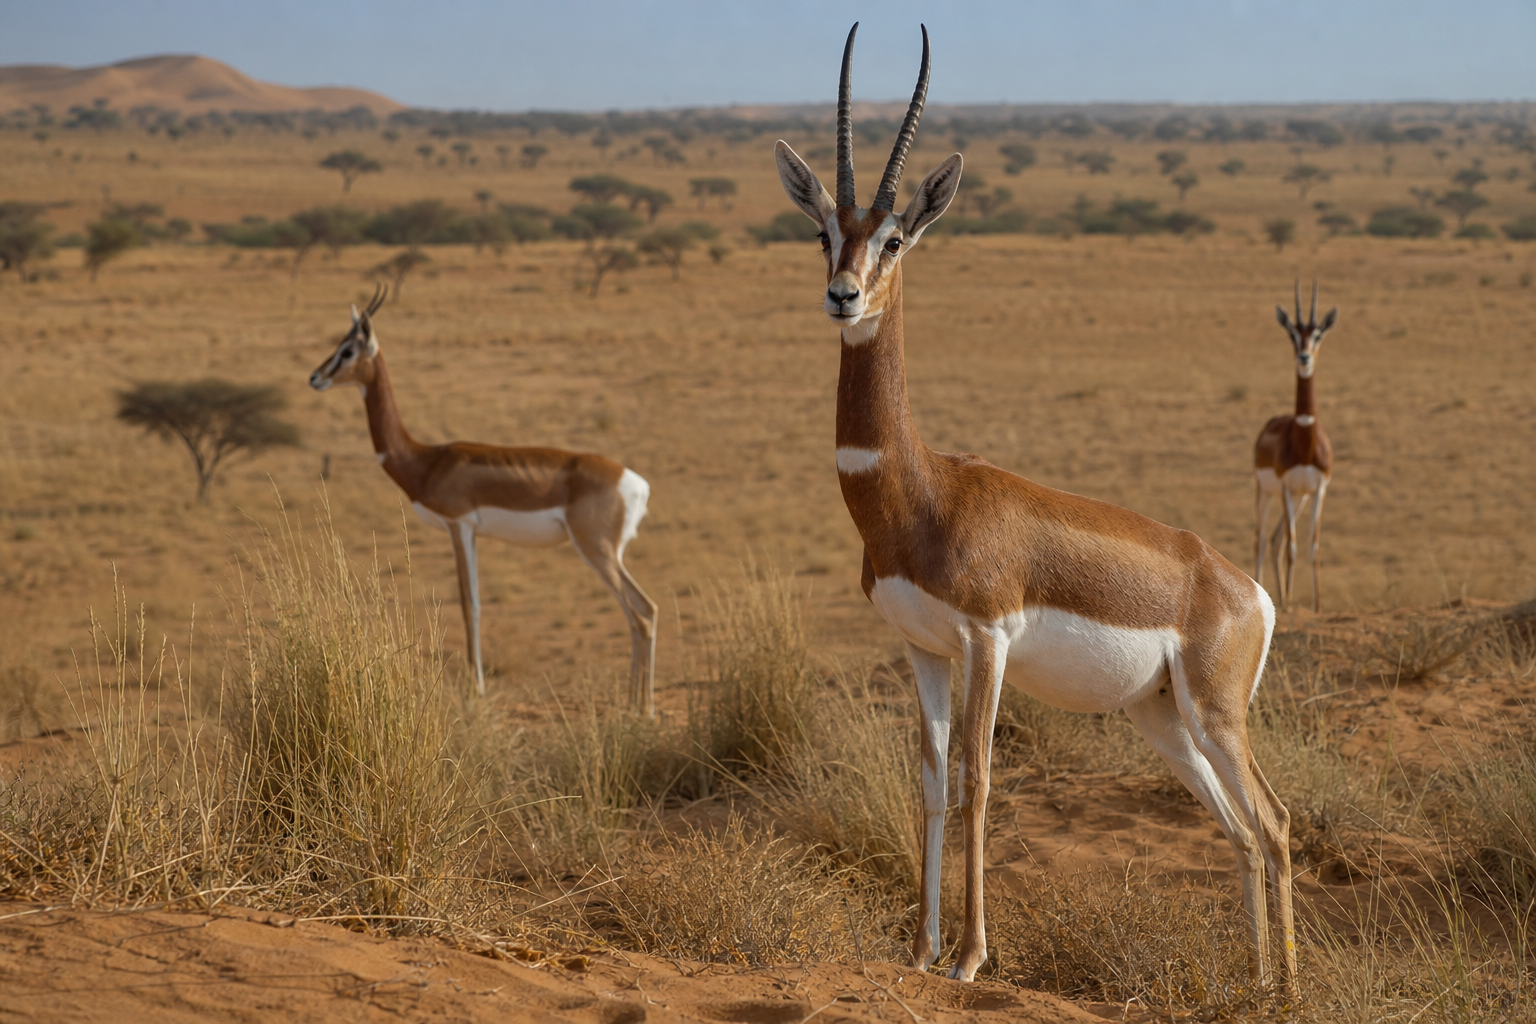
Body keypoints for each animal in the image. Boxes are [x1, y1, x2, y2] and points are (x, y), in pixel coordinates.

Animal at [308, 287, 659, 714]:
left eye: (347, 350)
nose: (315, 377)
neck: (428, 460)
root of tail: (634, 482)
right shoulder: (471, 532)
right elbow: (474, 603)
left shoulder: (459, 525)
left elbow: (468, 603)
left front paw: (476, 690)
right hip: (607, 553)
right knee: (638, 614)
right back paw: (634, 704)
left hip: (598, 551)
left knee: (643, 613)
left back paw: (644, 710)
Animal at [772, 24, 1295, 995]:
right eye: (825, 231)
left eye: (894, 239)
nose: (843, 295)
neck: (922, 491)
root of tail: (1247, 588)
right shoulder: (922, 648)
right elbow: (933, 784)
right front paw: (921, 948)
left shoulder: (987, 640)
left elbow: (980, 780)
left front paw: (971, 959)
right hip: (1164, 720)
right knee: (1243, 833)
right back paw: (1254, 986)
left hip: (1217, 713)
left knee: (1275, 824)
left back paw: (1287, 990)